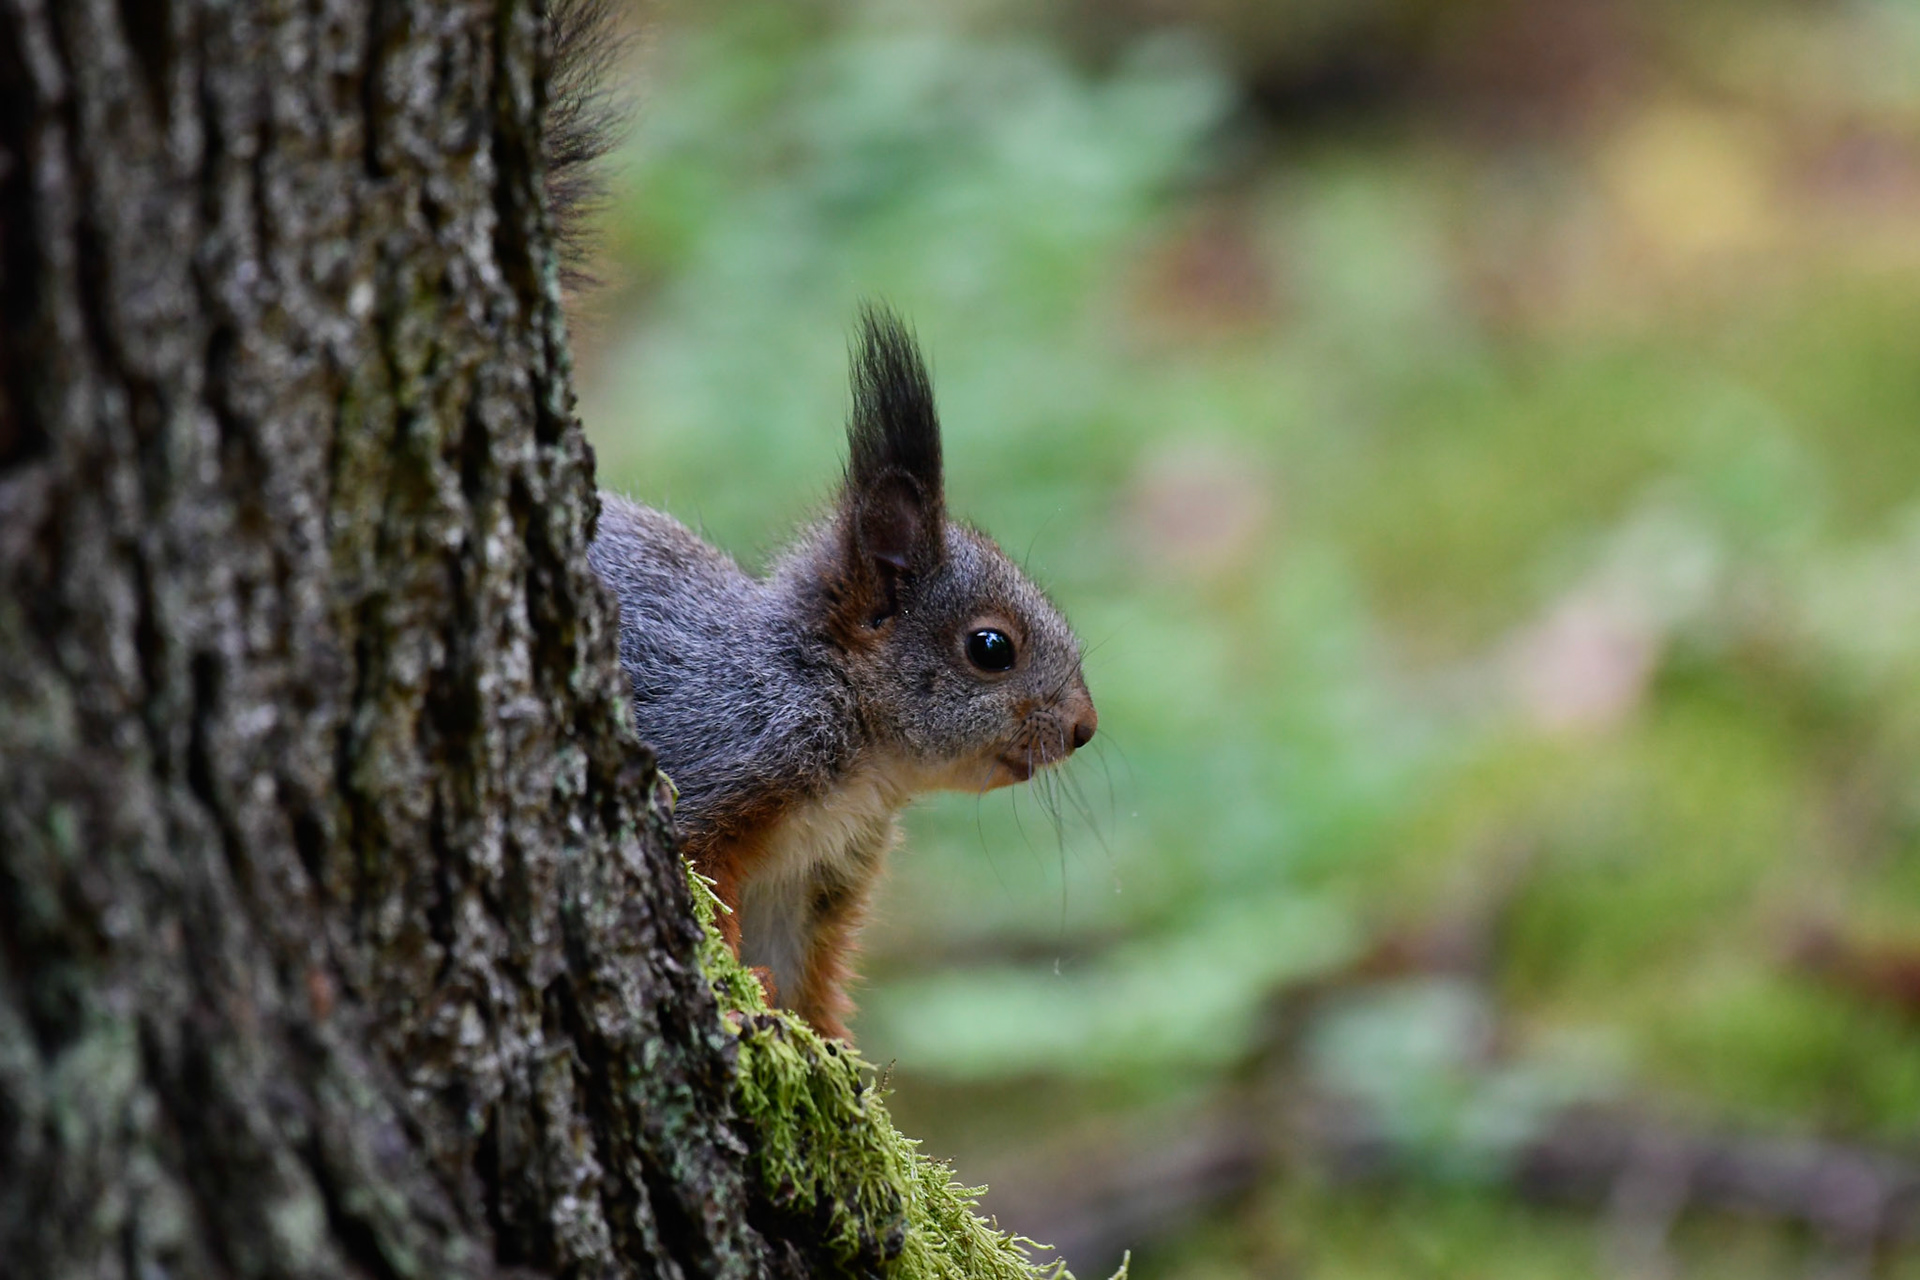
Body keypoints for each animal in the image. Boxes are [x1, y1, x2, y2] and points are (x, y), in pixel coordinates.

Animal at [547, 2, 1096, 1041]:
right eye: (991, 648)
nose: (1084, 728)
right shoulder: (717, 767)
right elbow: (713, 902)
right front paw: (741, 1010)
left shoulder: (820, 878)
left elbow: (809, 980)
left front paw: (829, 1046)